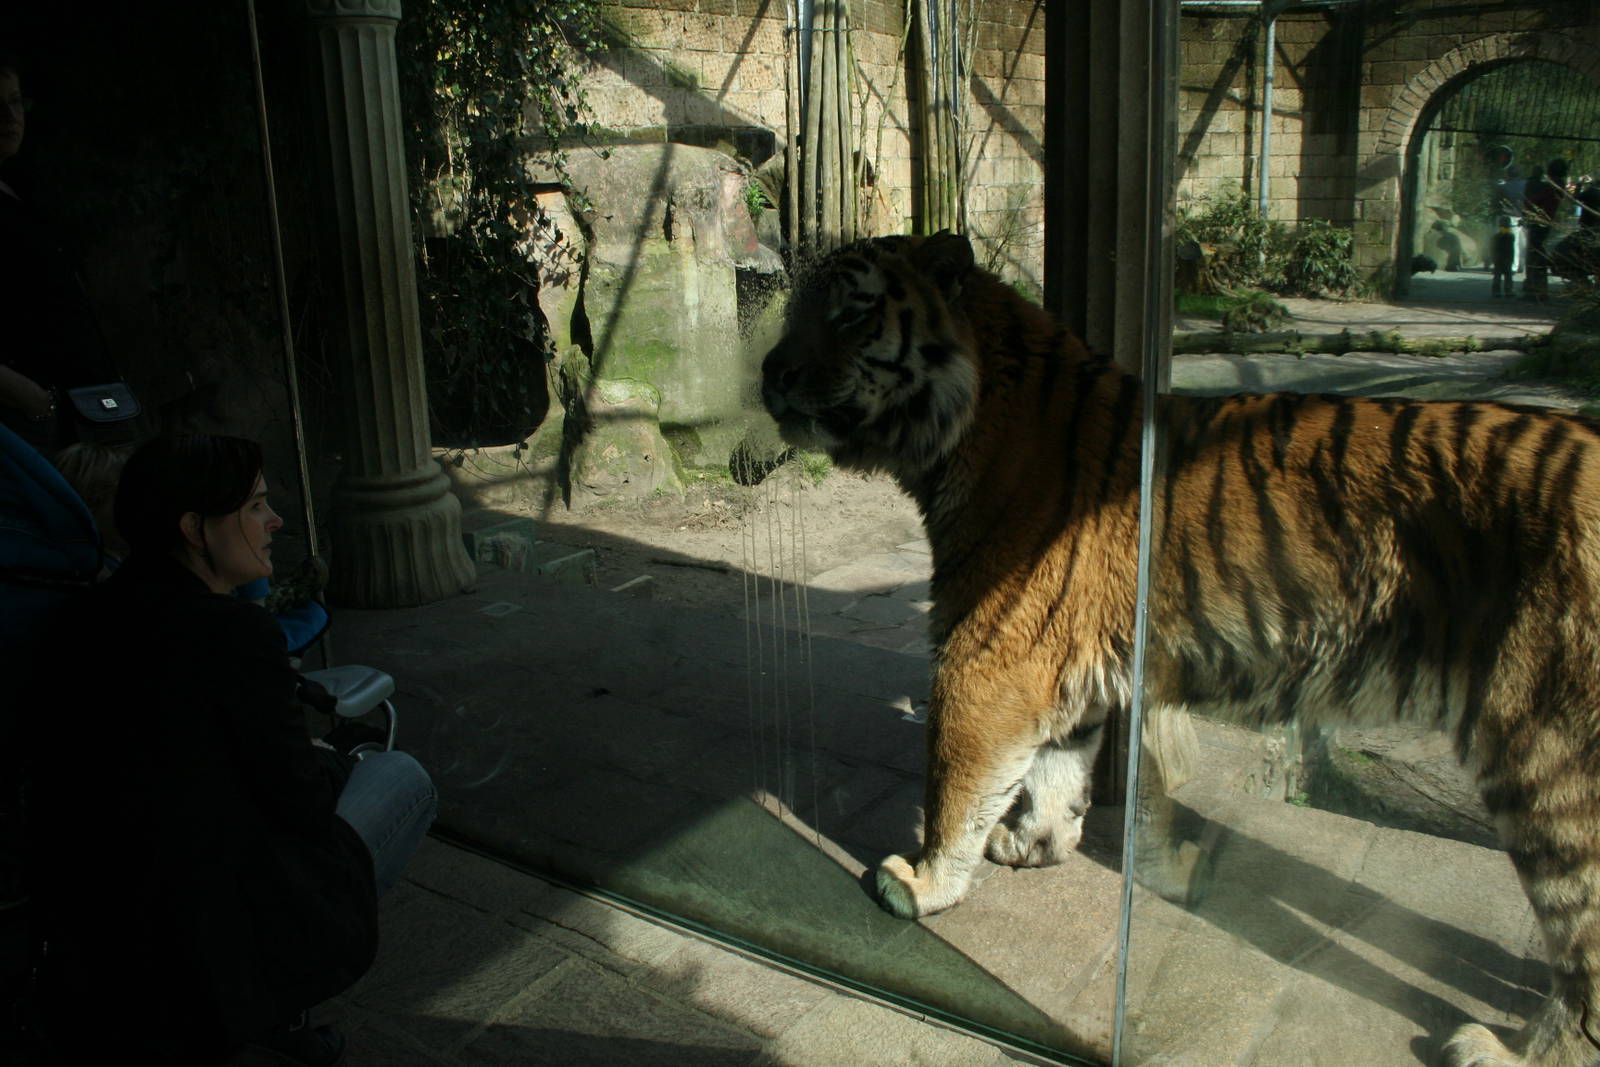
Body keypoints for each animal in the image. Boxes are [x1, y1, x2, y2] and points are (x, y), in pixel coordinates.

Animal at [760, 230, 1600, 1067]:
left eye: (851, 312)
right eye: (797, 307)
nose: (769, 370)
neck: (962, 428)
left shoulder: (987, 661)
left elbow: (956, 785)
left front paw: (923, 882)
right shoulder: (1060, 670)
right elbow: (1056, 771)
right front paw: (1035, 842)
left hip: (1545, 748)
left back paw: (1503, 1051)